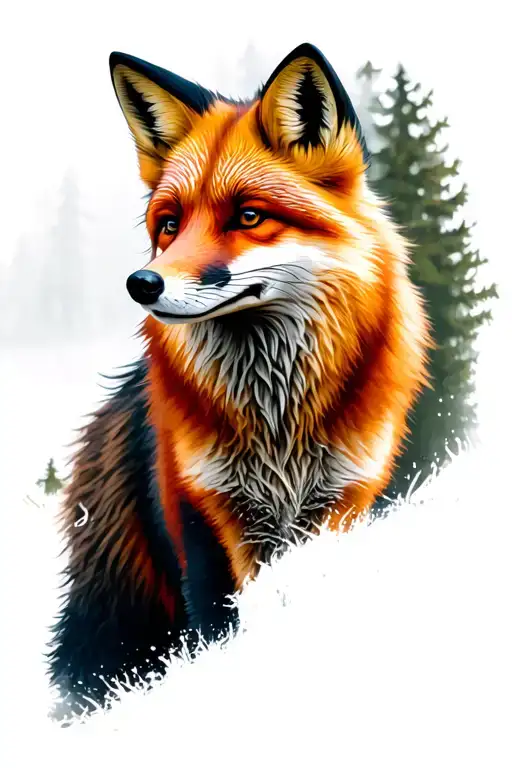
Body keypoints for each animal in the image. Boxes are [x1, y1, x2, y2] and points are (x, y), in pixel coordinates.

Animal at [48, 42, 430, 719]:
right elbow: (220, 626)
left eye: (249, 216)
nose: (141, 284)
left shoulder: (344, 499)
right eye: (169, 224)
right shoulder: (204, 514)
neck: (278, 424)